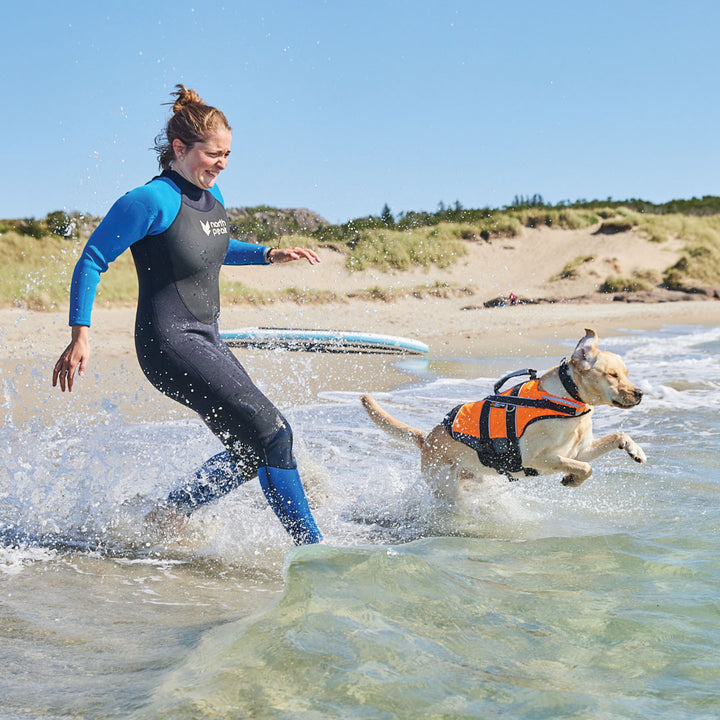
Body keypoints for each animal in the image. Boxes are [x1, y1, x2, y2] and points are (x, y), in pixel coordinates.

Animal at [360, 328, 648, 500]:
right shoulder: (536, 458)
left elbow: (616, 437)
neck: (567, 402)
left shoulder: (579, 450)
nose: (640, 393)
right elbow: (586, 467)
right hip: (445, 485)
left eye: (626, 373)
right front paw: (571, 479)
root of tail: (426, 438)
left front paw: (635, 450)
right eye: (612, 375)